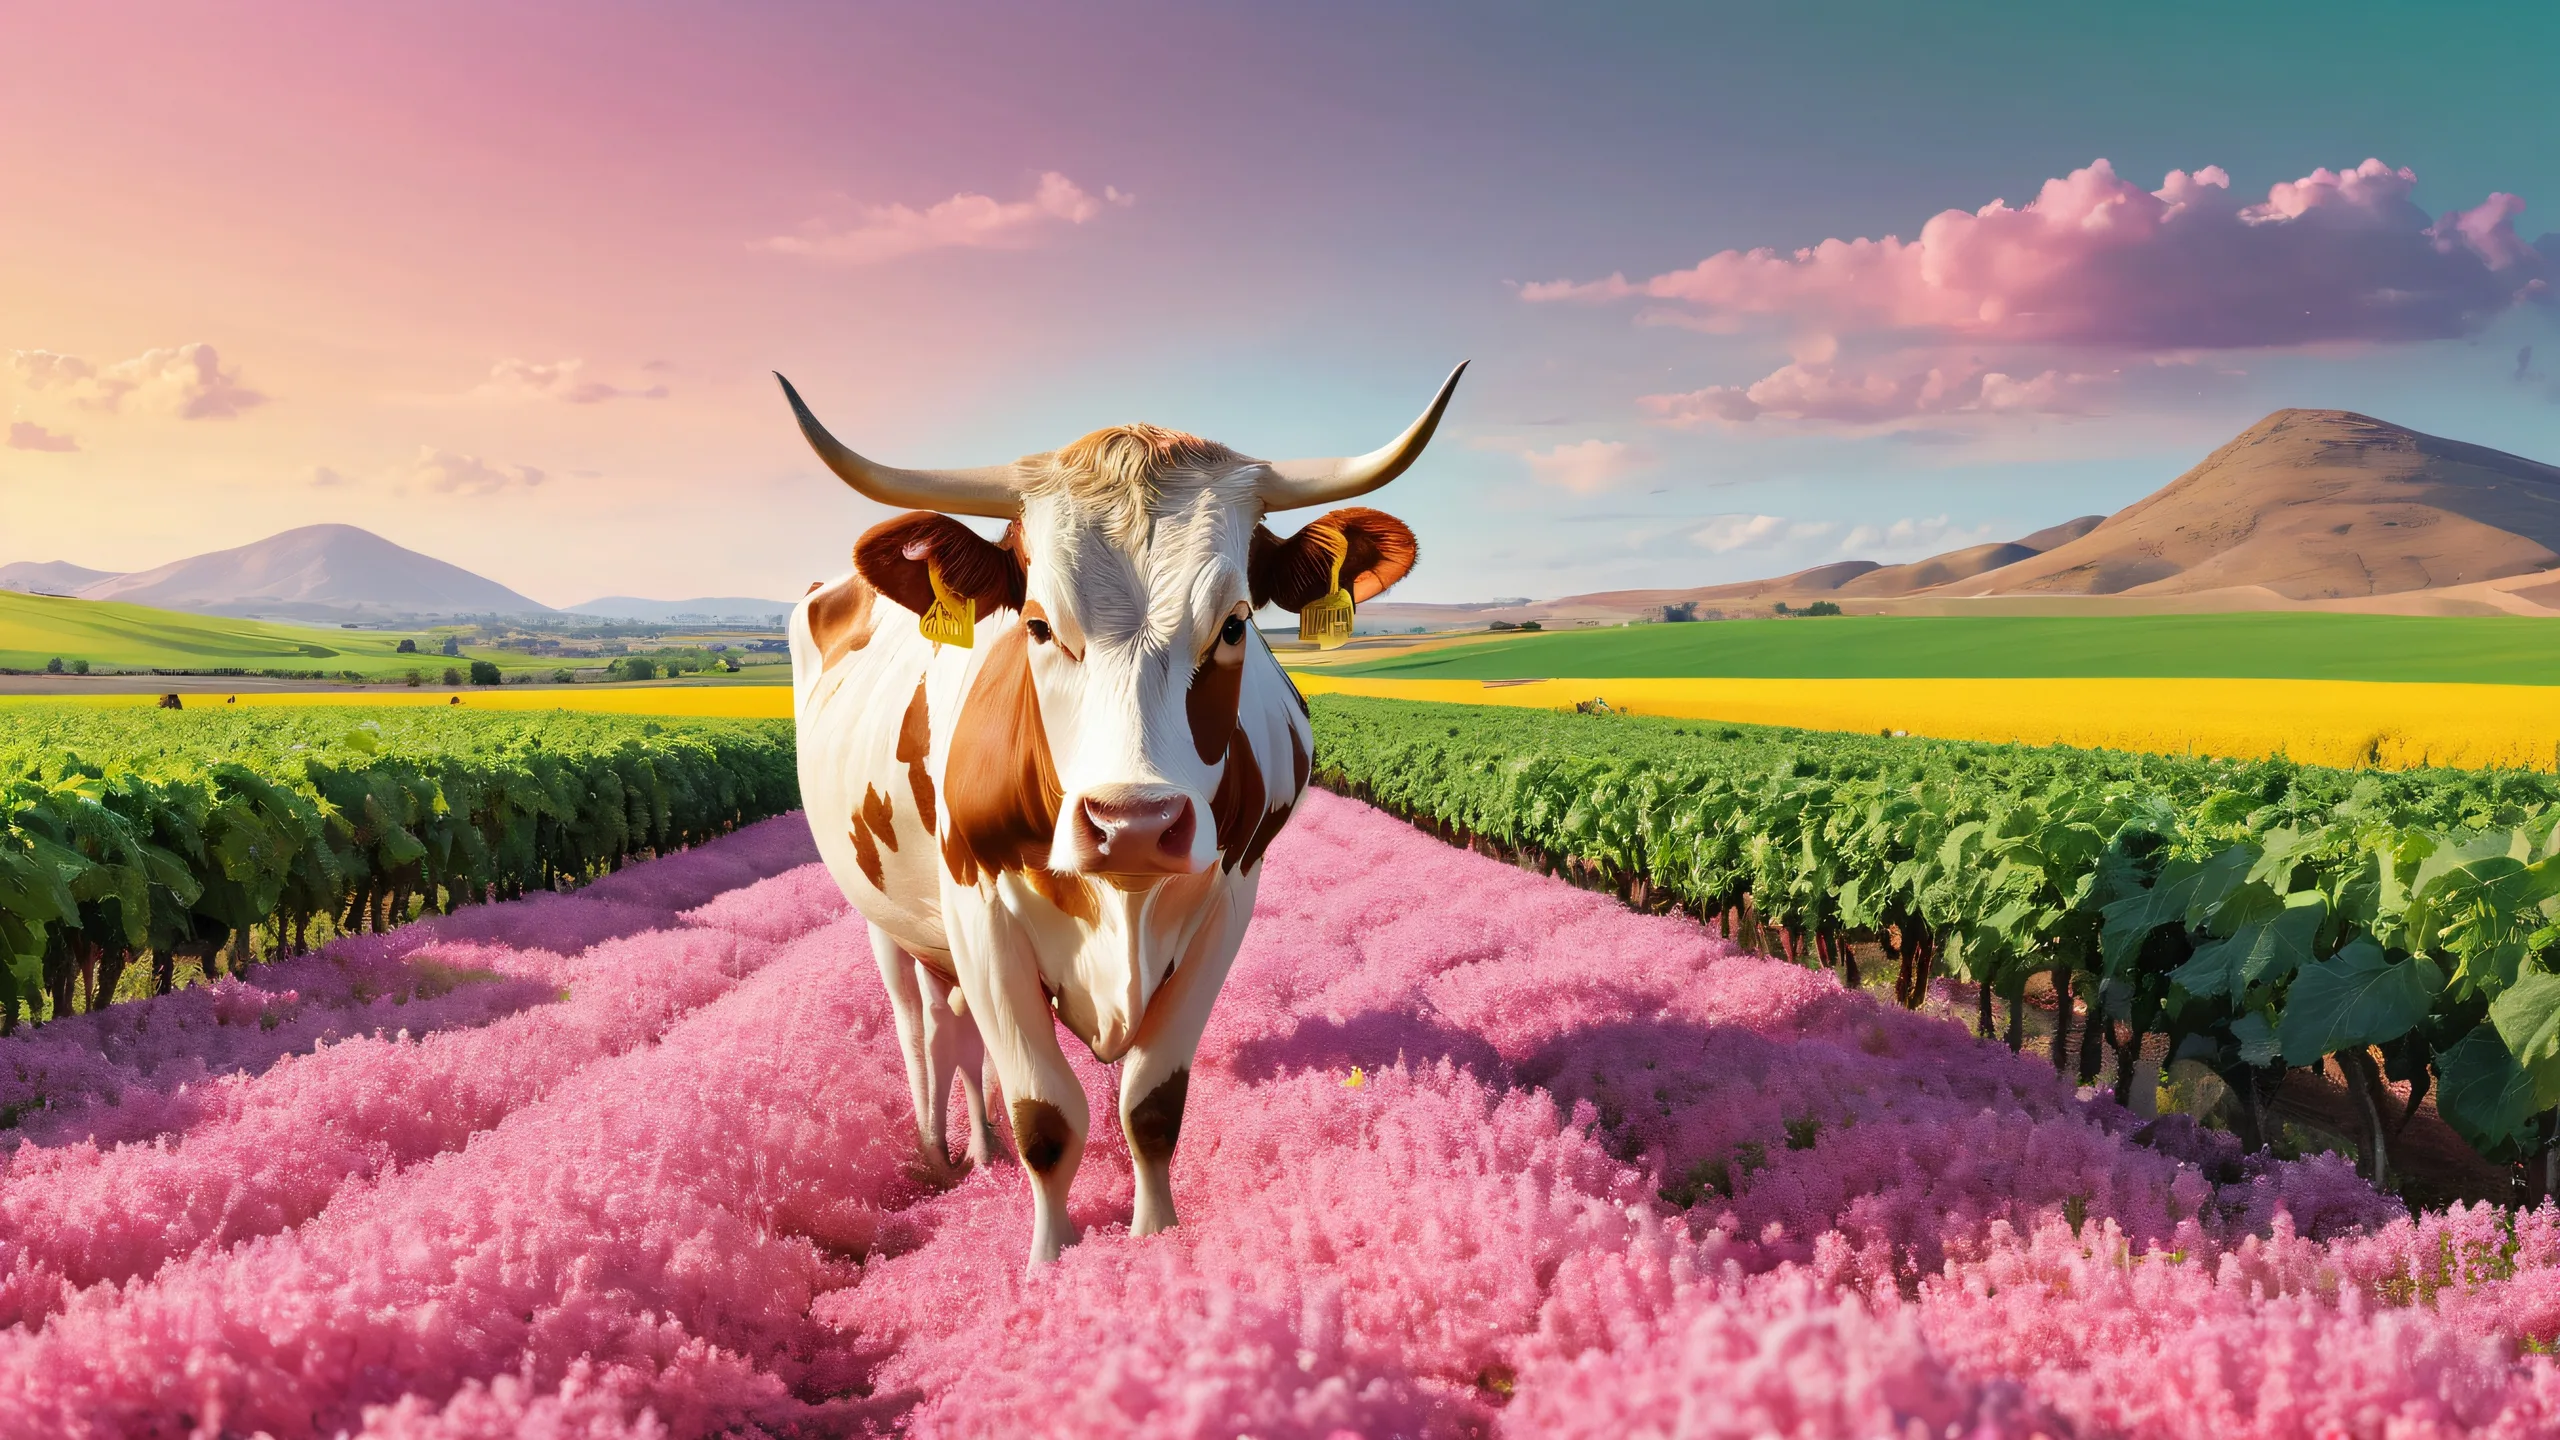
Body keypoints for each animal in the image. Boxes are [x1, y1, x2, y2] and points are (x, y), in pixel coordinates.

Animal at [779, 366, 1462, 1267]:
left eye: (1236, 624)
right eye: (1037, 625)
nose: (1133, 823)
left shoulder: (1226, 904)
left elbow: (1151, 1105)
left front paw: (1153, 1240)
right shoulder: (979, 913)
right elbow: (1047, 1117)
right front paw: (1050, 1262)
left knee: (962, 1038)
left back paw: (980, 1151)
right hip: (886, 921)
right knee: (921, 1033)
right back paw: (938, 1157)